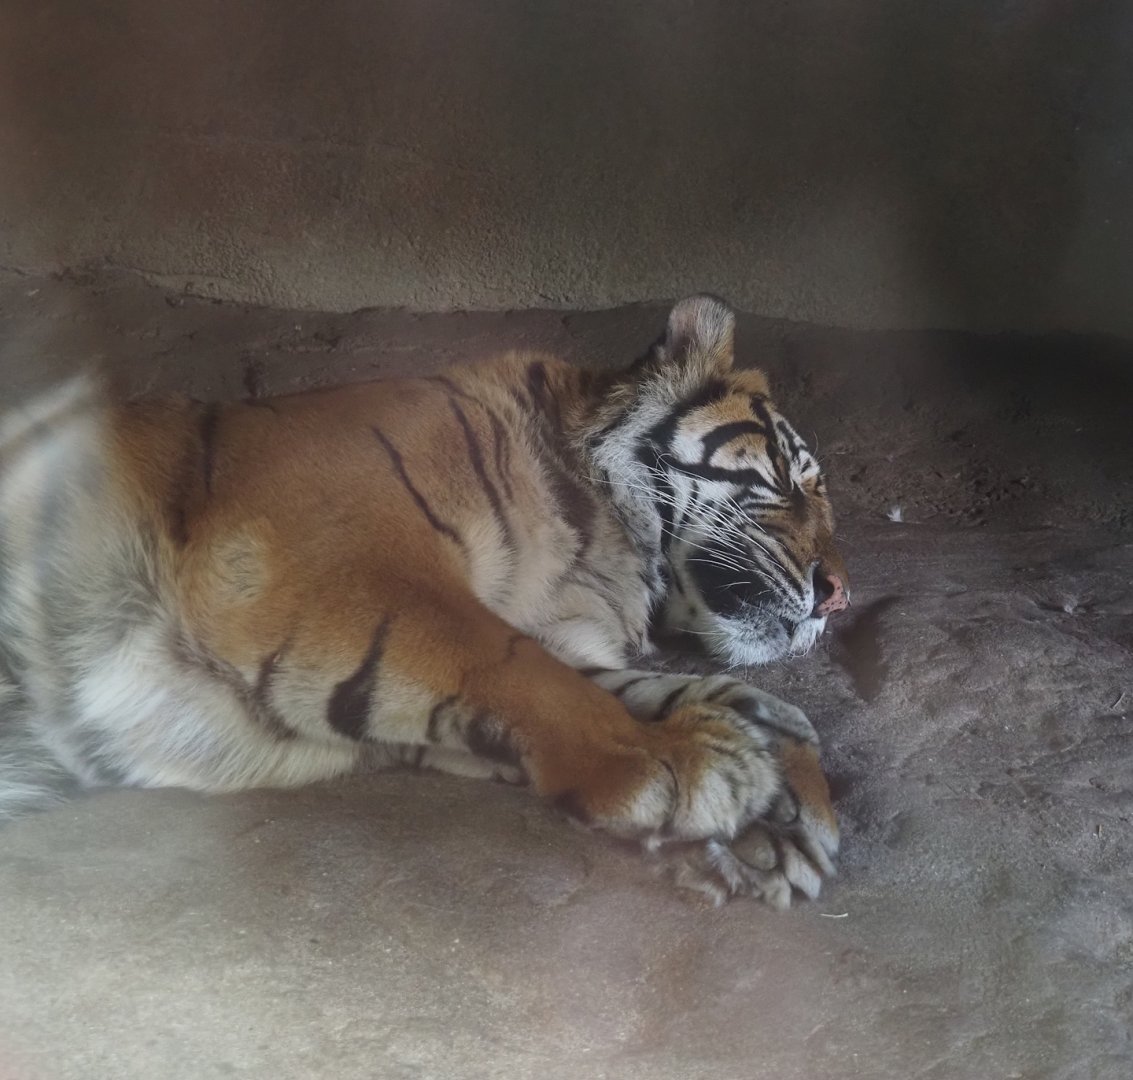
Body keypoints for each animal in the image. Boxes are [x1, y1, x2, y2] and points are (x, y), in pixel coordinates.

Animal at [0, 295, 849, 907]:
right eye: (789, 478)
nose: (838, 597)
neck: (596, 548)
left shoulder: (556, 640)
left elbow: (668, 689)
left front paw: (788, 800)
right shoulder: (342, 551)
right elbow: (520, 669)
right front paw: (690, 764)